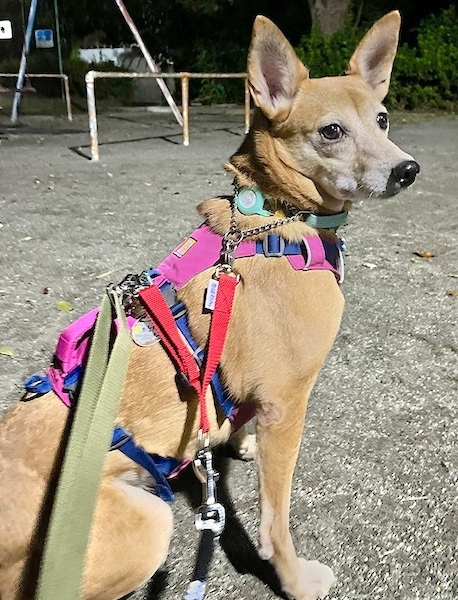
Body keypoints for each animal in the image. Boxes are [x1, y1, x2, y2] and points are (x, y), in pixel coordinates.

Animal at [0, 11, 419, 600]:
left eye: (382, 119)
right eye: (332, 131)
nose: (408, 169)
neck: (276, 217)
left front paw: (234, 437)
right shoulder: (288, 403)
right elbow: (275, 519)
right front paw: (294, 579)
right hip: (148, 524)